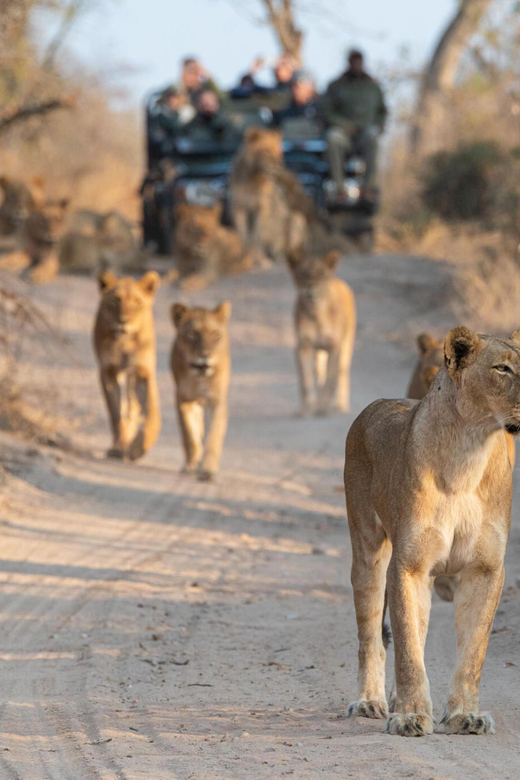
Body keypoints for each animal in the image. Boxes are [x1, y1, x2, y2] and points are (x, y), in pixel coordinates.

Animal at [92, 272, 159, 460]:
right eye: (115, 301)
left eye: (137, 303)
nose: (123, 321)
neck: (124, 342)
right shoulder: (107, 371)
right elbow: (115, 412)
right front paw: (119, 446)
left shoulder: (143, 371)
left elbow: (150, 413)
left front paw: (138, 448)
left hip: (132, 377)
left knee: (134, 407)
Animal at [172, 300, 231, 478]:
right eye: (192, 334)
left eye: (215, 335)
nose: (205, 355)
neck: (200, 377)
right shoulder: (183, 398)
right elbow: (189, 434)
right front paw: (191, 464)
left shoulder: (217, 401)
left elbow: (214, 434)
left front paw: (208, 469)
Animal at [231, 126, 312, 264]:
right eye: (267, 151)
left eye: (279, 153)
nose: (280, 165)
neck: (253, 179)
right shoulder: (238, 208)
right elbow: (244, 236)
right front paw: (243, 259)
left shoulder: (261, 209)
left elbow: (256, 236)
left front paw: (259, 260)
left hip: (297, 219)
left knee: (289, 250)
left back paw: (281, 257)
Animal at [286, 253, 356, 418]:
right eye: (302, 274)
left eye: (320, 274)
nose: (310, 290)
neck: (316, 314)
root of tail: (337, 280)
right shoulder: (303, 346)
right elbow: (306, 381)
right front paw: (307, 410)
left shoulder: (334, 347)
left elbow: (330, 380)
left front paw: (325, 408)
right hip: (318, 351)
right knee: (319, 373)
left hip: (346, 345)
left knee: (342, 372)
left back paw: (340, 406)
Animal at [346, 328, 520, 736]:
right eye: (502, 369)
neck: (469, 453)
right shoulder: (409, 566)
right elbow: (409, 649)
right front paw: (410, 716)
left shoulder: (485, 569)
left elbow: (473, 651)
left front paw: (464, 717)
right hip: (368, 552)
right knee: (372, 636)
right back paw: (370, 702)